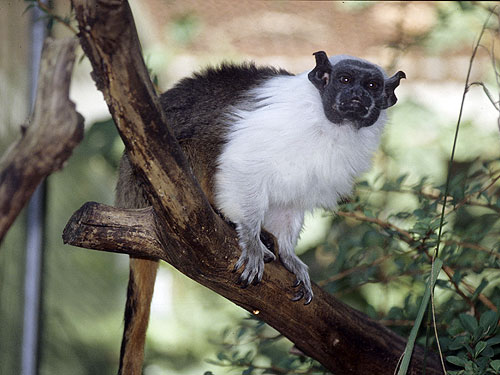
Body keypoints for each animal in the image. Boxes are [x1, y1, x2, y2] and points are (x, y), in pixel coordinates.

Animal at [115, 51, 404, 374]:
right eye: (345, 80)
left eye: (371, 85)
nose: (357, 95)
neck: (330, 125)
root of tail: (126, 198)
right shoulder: (275, 125)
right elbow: (241, 164)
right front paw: (252, 239)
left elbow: (290, 204)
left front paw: (290, 257)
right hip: (143, 187)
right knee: (200, 144)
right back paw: (224, 219)